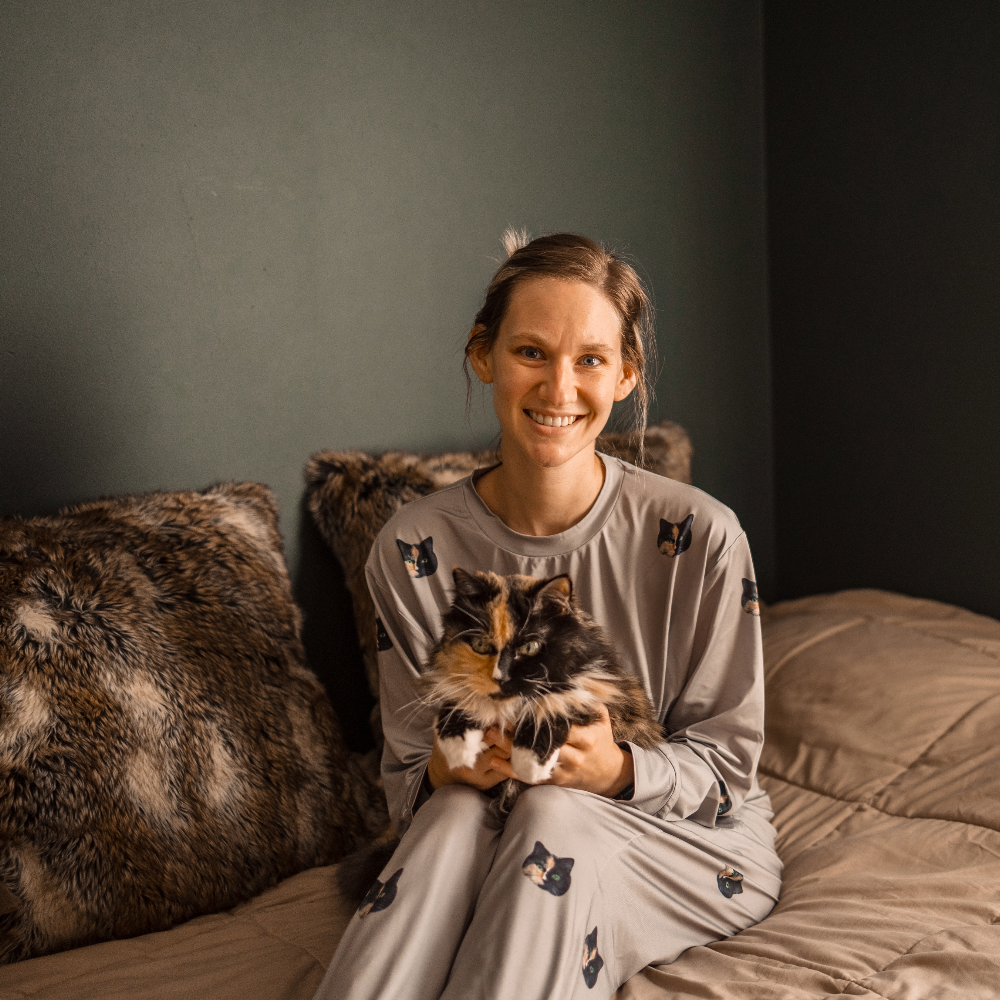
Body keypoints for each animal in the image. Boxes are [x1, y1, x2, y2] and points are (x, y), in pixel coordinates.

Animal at [424, 568, 664, 816]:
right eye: (480, 645)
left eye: (530, 647)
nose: (500, 676)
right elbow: (463, 697)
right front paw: (457, 747)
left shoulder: (601, 688)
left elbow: (553, 703)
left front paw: (530, 763)